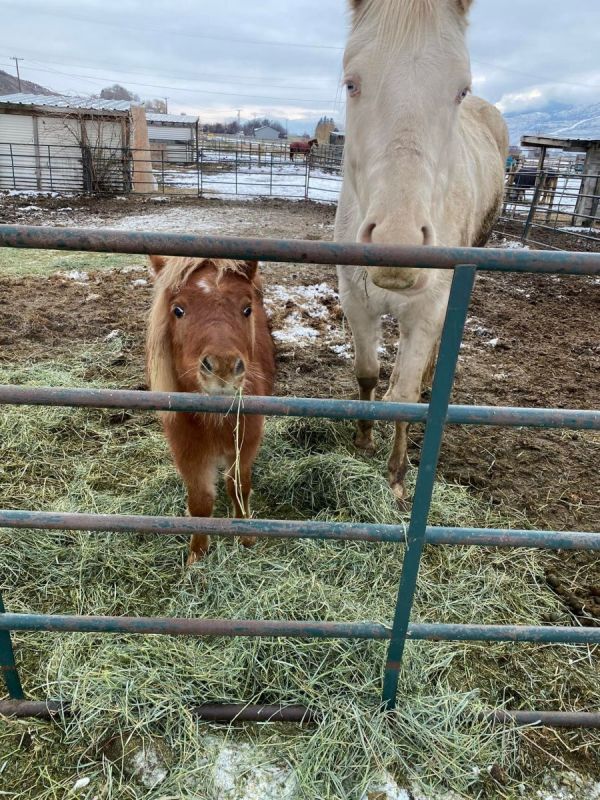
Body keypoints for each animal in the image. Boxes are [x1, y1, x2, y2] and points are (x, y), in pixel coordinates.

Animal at [146, 256, 275, 564]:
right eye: (178, 310)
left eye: (247, 309)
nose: (223, 368)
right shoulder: (187, 451)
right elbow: (201, 502)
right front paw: (197, 555)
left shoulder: (245, 444)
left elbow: (238, 487)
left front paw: (246, 537)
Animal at [335, 0, 508, 500]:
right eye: (351, 82)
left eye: (460, 90)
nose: (399, 243)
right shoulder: (356, 302)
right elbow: (368, 374)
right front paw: (363, 439)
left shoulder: (428, 309)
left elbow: (406, 397)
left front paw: (396, 475)